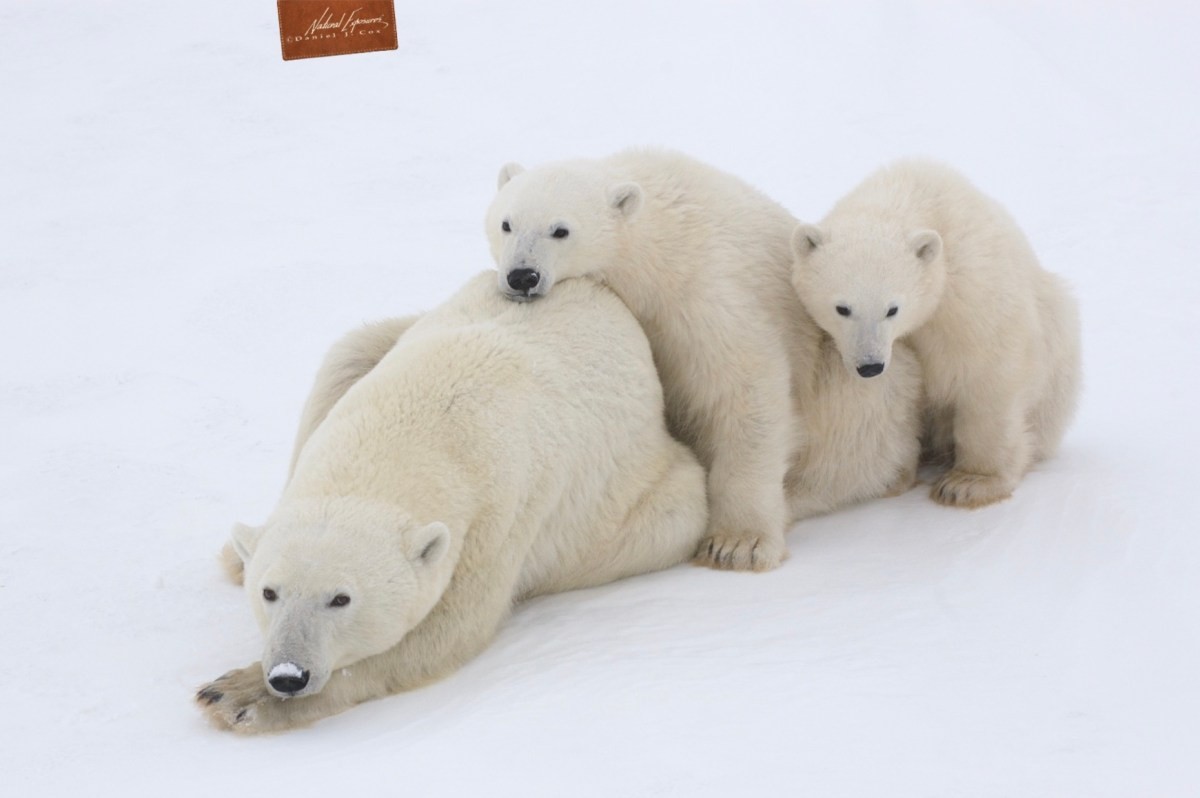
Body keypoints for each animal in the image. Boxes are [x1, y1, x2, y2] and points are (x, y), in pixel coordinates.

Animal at [196, 271, 709, 733]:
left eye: (341, 598)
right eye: (270, 592)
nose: (288, 675)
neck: (413, 430)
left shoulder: (501, 512)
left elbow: (449, 630)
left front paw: (236, 694)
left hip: (641, 497)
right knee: (348, 351)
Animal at [485, 148, 825, 572]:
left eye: (561, 230)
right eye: (506, 223)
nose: (522, 276)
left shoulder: (705, 292)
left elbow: (745, 387)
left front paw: (736, 544)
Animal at [790, 159, 1082, 508]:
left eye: (893, 309)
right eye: (842, 308)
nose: (870, 366)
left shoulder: (972, 293)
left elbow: (989, 377)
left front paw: (969, 483)